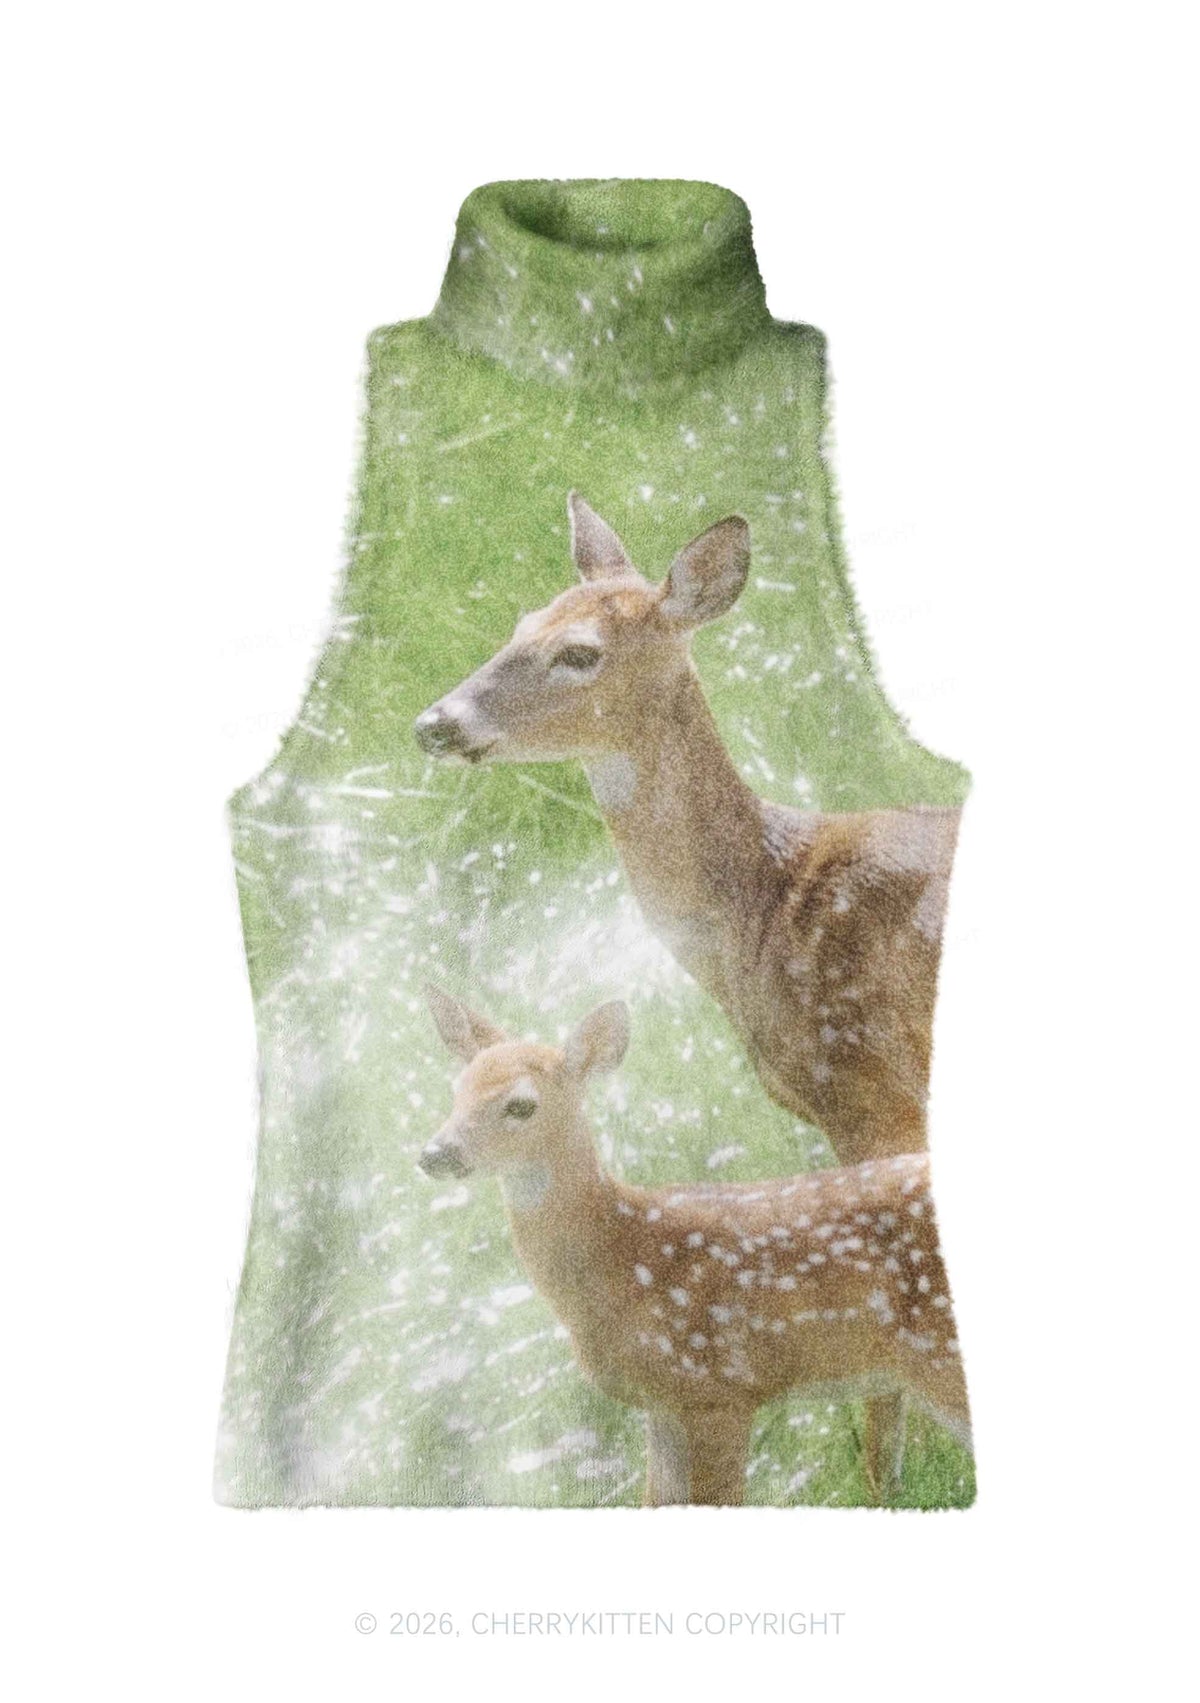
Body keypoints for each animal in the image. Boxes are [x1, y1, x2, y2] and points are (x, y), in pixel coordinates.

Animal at [418, 987, 971, 1507]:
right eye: (457, 1091)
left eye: (520, 1105)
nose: (434, 1153)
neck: (624, 1254)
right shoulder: (663, 1404)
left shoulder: (718, 1390)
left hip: (940, 1355)